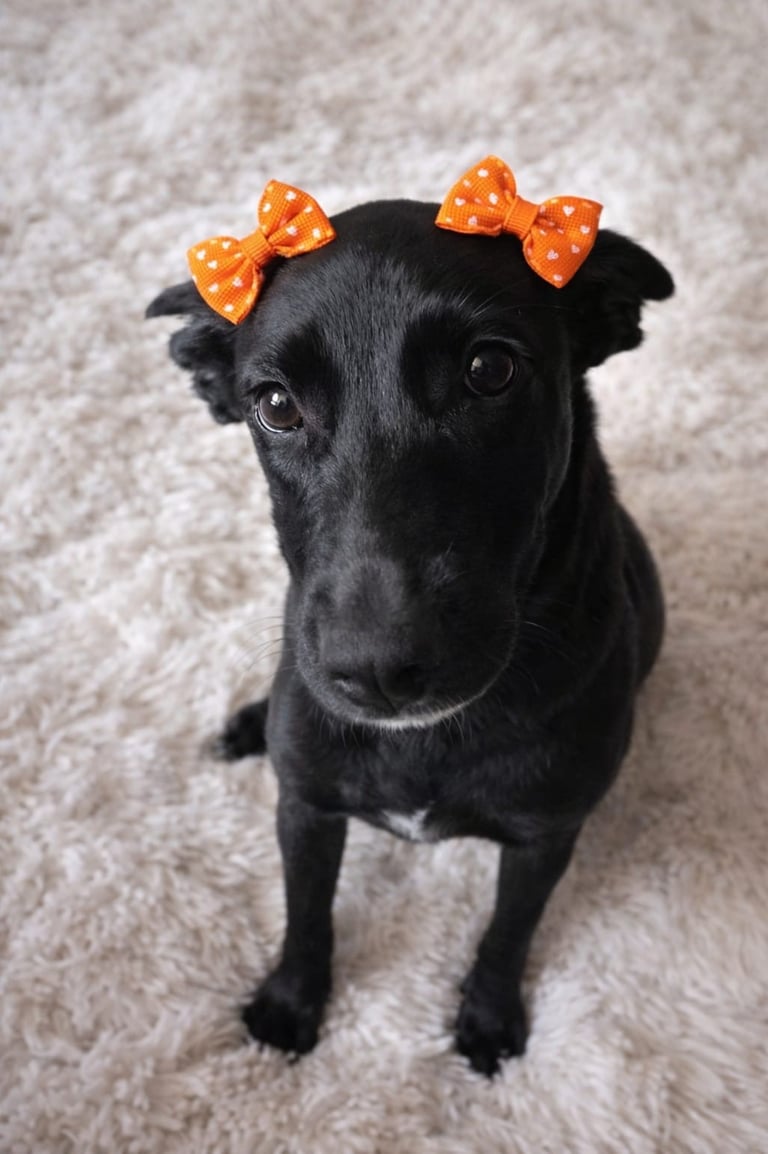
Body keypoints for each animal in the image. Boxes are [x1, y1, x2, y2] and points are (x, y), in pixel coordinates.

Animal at [147, 160, 673, 1076]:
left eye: (490, 369)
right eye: (275, 404)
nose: (380, 671)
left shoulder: (545, 837)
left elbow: (507, 933)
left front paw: (489, 1020)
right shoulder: (306, 806)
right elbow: (306, 914)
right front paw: (292, 1003)